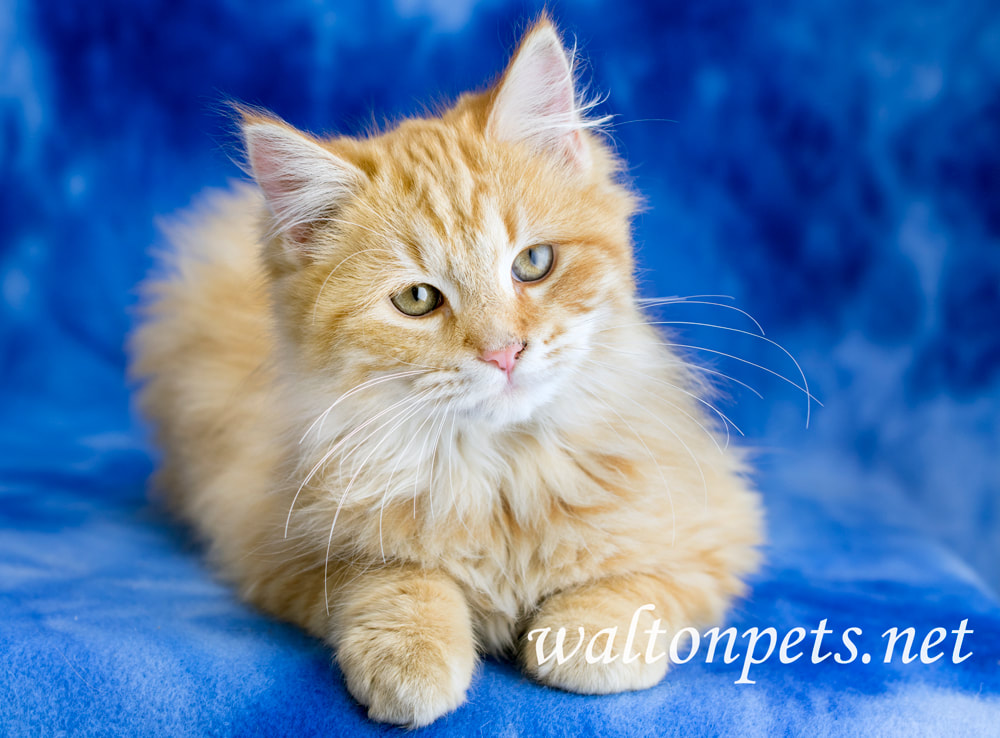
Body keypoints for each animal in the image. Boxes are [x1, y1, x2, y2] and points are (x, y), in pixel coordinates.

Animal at [129, 15, 760, 724]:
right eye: (416, 299)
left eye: (533, 262)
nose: (504, 351)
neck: (502, 473)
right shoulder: (271, 538)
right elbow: (394, 577)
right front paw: (415, 655)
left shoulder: (719, 522)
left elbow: (637, 584)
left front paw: (583, 636)